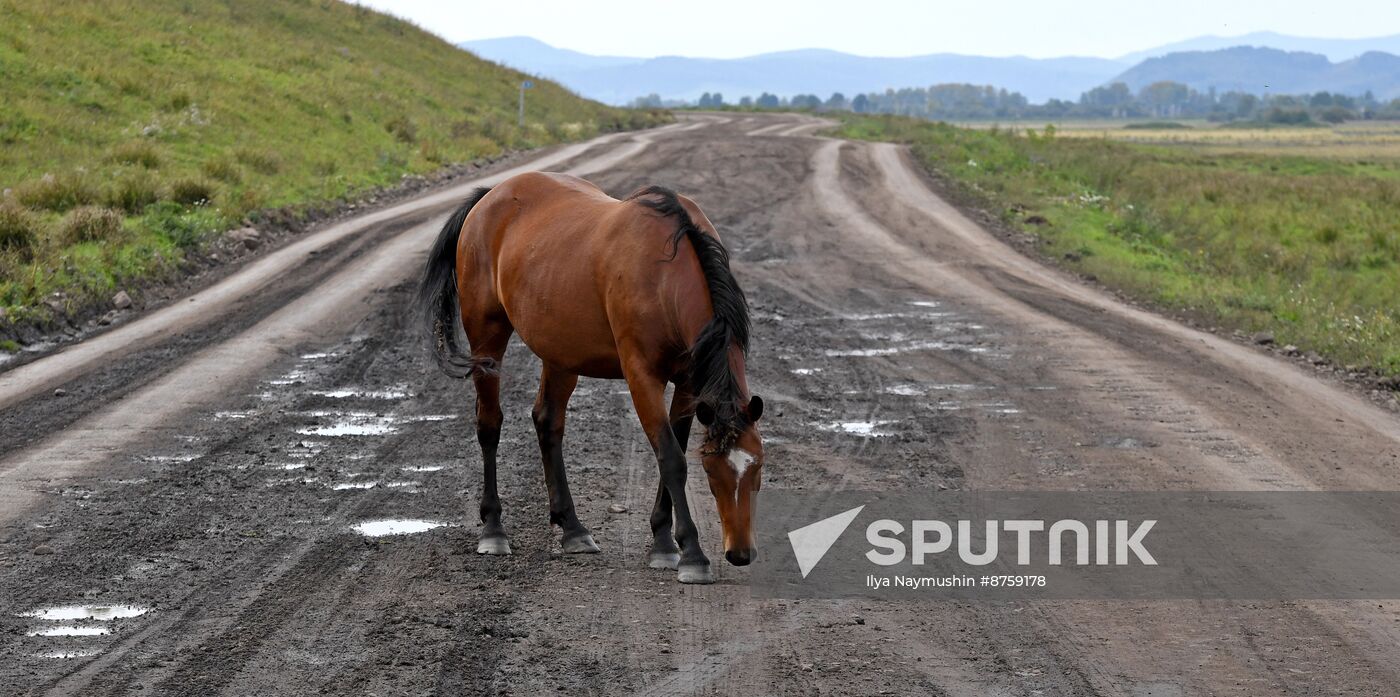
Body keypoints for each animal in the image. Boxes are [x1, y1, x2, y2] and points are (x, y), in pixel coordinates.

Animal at [414, 172, 767, 582]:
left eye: (757, 467)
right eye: (710, 471)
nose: (739, 553)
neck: (666, 274)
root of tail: (491, 196)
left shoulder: (688, 381)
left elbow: (674, 449)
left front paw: (663, 540)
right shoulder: (641, 376)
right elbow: (672, 458)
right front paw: (691, 552)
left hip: (560, 352)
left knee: (547, 421)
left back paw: (572, 529)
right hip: (487, 338)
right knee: (489, 424)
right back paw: (494, 530)